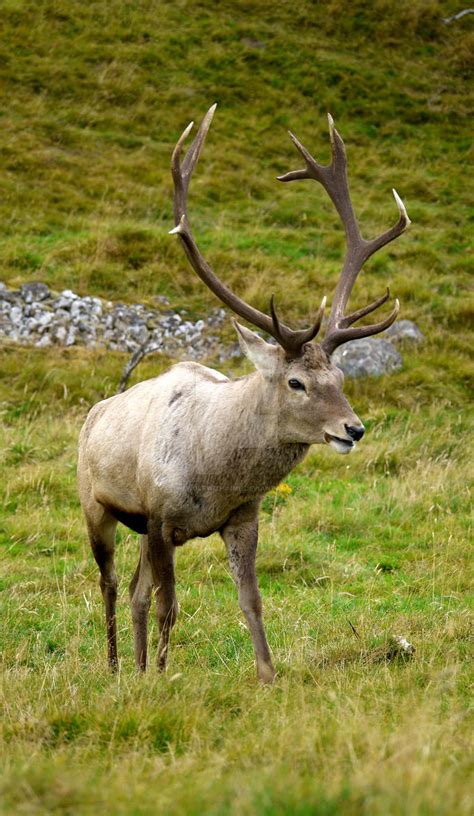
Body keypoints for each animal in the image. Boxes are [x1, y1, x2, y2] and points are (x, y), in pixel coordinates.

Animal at [78, 105, 412, 684]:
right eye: (296, 382)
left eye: (341, 379)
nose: (354, 428)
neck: (216, 476)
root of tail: (94, 412)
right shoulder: (161, 515)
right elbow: (170, 605)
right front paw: (163, 674)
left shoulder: (241, 518)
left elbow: (250, 602)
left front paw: (267, 676)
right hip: (94, 504)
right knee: (113, 584)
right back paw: (120, 665)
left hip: (138, 526)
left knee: (137, 590)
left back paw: (137, 666)